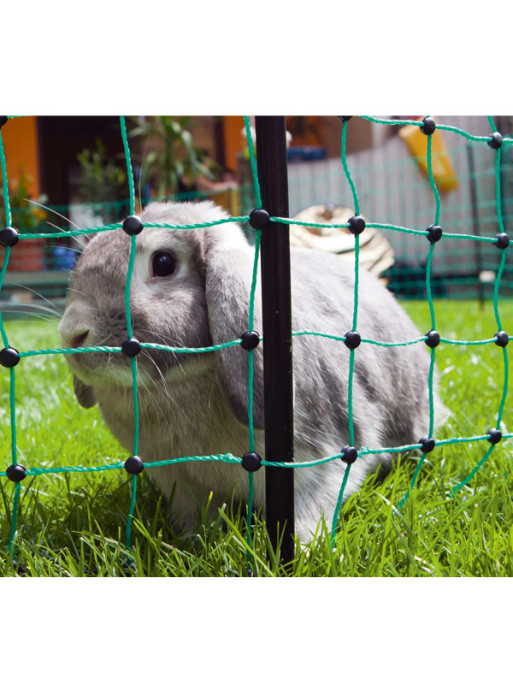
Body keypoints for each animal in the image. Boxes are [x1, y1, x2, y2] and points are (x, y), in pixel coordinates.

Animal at [58, 200, 447, 542]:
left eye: (164, 262)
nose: (71, 333)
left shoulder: (320, 462)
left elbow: (311, 509)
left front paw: (301, 550)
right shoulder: (181, 483)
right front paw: (190, 542)